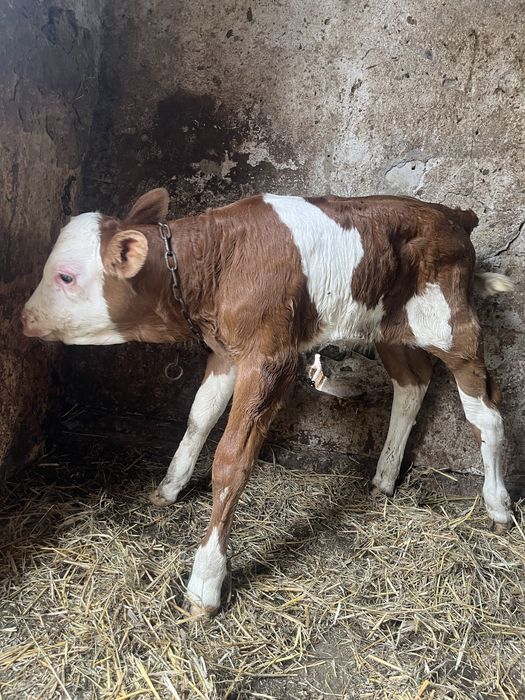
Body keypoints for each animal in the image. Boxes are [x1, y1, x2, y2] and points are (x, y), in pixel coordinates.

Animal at [22, 188, 514, 616]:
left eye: (65, 276)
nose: (24, 318)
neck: (216, 263)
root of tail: (451, 214)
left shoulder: (269, 360)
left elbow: (231, 459)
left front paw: (206, 581)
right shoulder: (225, 351)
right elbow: (199, 418)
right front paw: (170, 486)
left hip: (451, 326)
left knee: (486, 412)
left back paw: (498, 506)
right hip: (389, 327)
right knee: (411, 384)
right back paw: (384, 478)